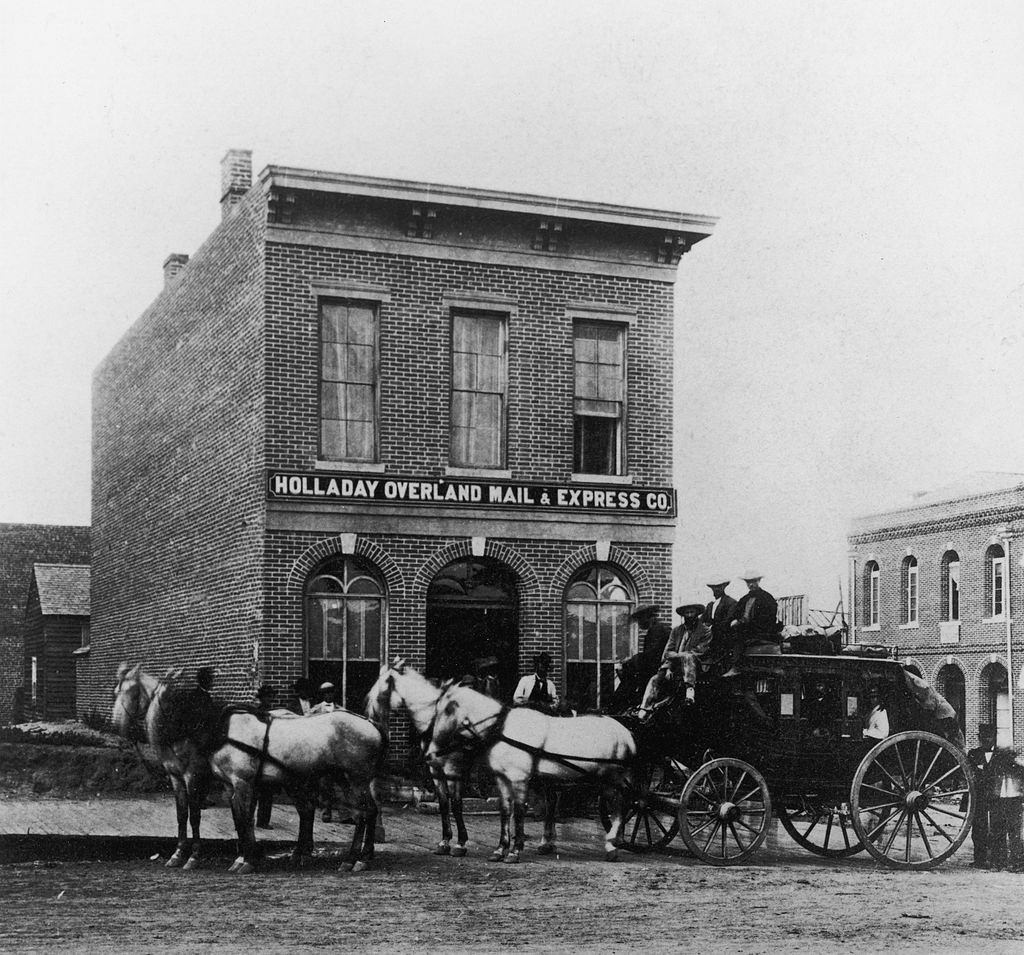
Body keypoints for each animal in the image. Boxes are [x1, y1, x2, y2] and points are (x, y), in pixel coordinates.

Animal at [366, 663, 477, 855]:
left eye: (383, 687)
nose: (371, 714)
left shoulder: (453, 770)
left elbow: (456, 804)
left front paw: (460, 844)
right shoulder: (436, 770)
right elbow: (444, 804)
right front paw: (444, 842)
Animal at [421, 683, 630, 859]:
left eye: (448, 709)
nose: (432, 753)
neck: (502, 729)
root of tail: (623, 731)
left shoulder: (515, 777)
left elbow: (519, 810)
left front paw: (513, 851)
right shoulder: (501, 777)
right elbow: (504, 810)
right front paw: (500, 850)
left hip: (612, 777)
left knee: (621, 803)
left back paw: (613, 844)